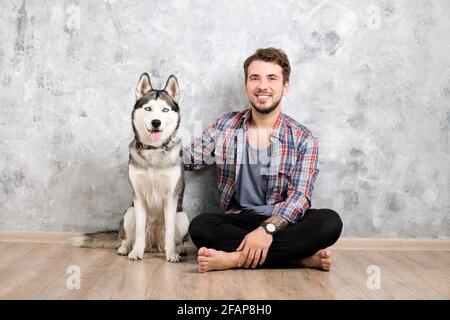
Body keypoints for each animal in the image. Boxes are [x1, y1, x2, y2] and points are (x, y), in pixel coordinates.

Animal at [73, 73, 189, 262]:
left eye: (165, 110)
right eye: (148, 109)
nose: (156, 122)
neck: (153, 151)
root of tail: (153, 244)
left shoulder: (171, 198)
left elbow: (170, 234)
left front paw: (172, 254)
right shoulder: (139, 198)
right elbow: (140, 232)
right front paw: (136, 252)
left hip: (183, 217)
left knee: (173, 238)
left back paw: (178, 249)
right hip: (129, 213)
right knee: (128, 237)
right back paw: (126, 248)